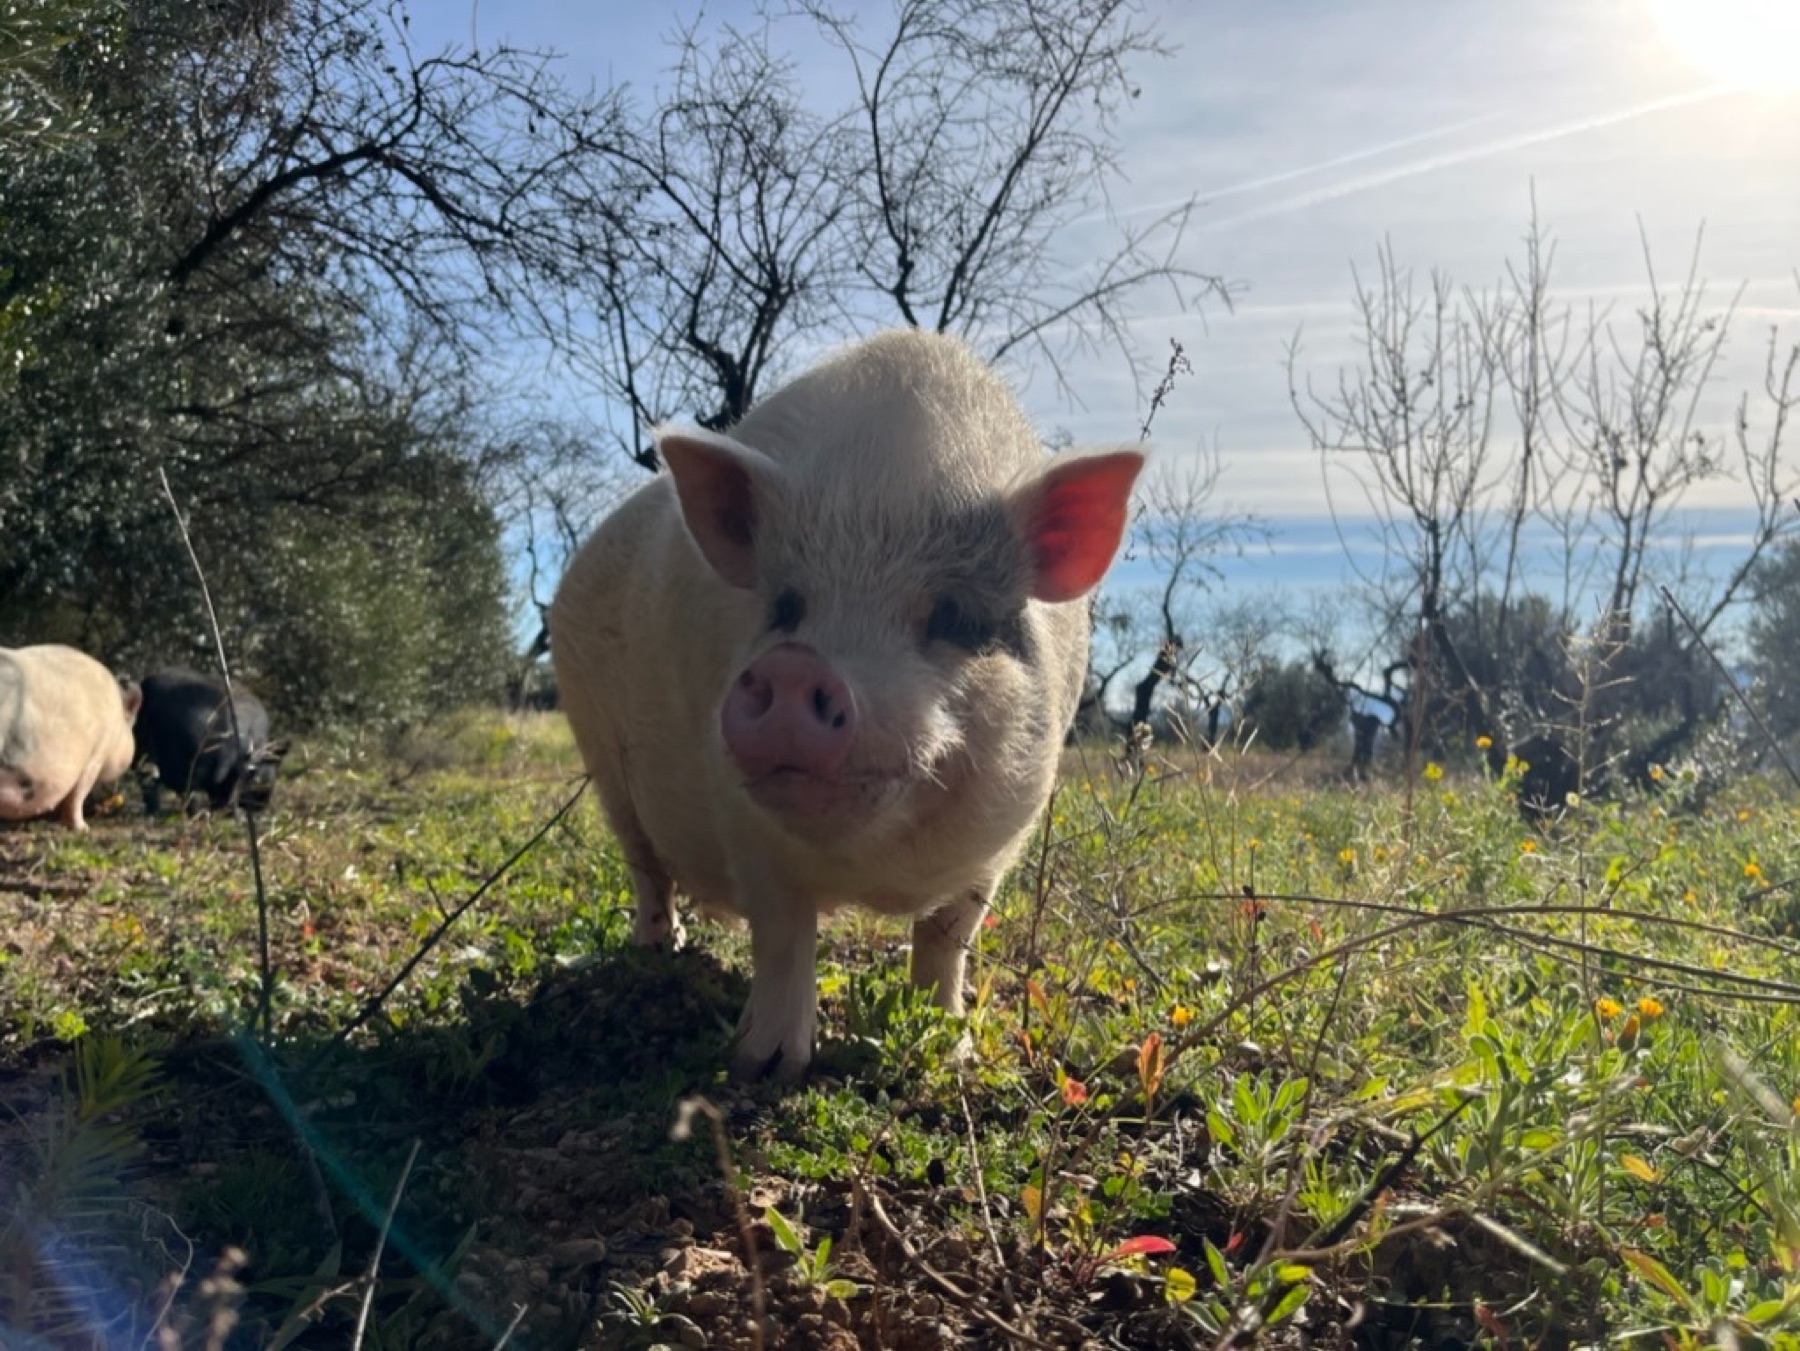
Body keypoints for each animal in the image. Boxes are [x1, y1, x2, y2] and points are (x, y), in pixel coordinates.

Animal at [550, 330, 1143, 1080]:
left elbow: (947, 938)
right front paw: (765, 1065)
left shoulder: (1000, 843)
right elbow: (784, 934)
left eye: (954, 616)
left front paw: (952, 1053)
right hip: (602, 761)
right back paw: (658, 953)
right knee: (647, 871)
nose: (796, 666)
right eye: (786, 608)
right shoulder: (742, 821)